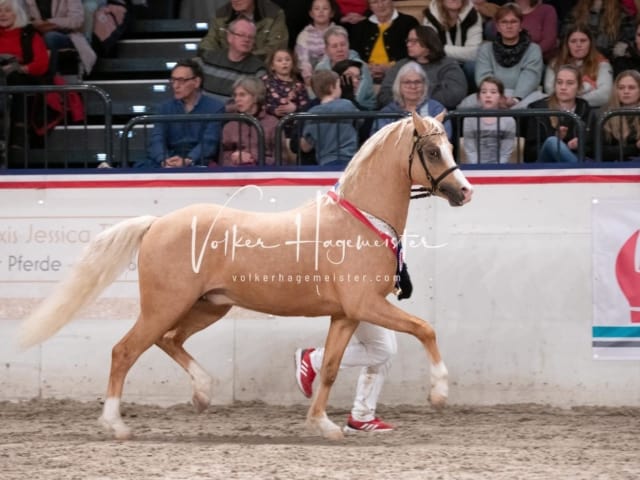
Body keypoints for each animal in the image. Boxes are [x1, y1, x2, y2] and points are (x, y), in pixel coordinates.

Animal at [20, 111, 472, 438]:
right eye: (433, 151)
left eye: (450, 146)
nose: (465, 192)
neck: (360, 221)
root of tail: (157, 224)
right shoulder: (366, 306)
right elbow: (425, 328)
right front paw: (439, 392)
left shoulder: (347, 314)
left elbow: (329, 367)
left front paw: (323, 425)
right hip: (165, 306)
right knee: (125, 351)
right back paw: (115, 424)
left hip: (207, 307)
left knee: (169, 341)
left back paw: (203, 393)